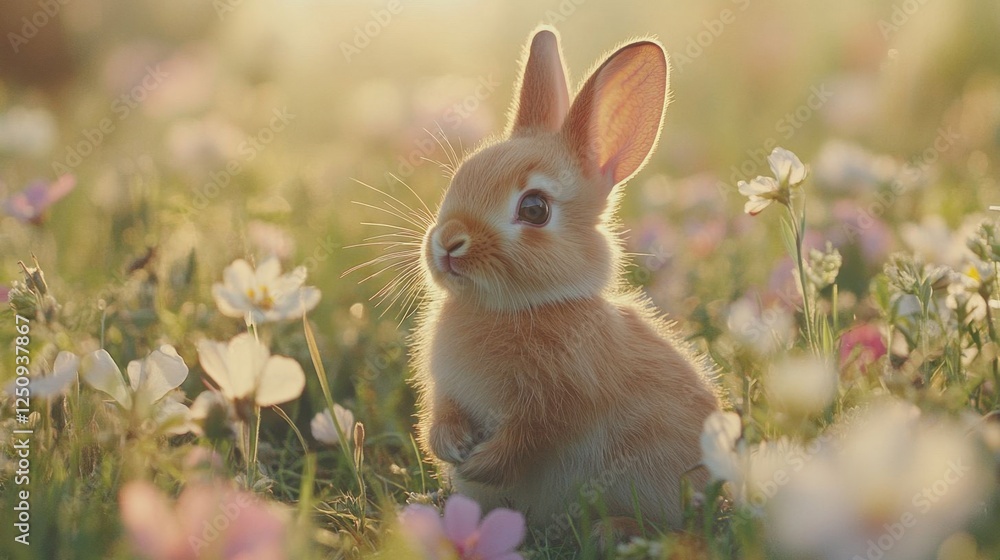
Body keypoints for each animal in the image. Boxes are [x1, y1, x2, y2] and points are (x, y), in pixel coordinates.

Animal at [410, 26, 722, 539]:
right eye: (460, 177)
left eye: (535, 208)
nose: (448, 242)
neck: (518, 306)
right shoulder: (446, 389)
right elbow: (443, 409)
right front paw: (450, 445)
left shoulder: (558, 407)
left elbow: (528, 439)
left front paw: (478, 463)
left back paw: (611, 529)